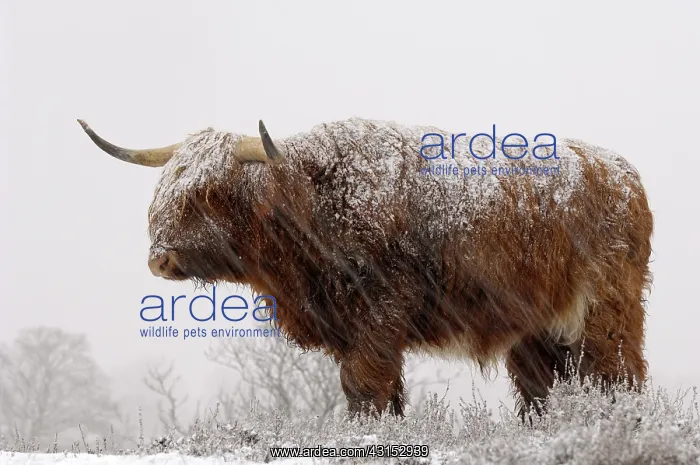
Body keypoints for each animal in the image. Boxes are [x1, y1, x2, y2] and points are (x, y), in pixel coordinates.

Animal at [78, 117, 653, 418]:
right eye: (162, 192)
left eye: (208, 194)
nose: (159, 258)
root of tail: (621, 172)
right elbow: (383, 389)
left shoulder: (379, 316)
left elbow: (364, 386)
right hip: (533, 328)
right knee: (540, 389)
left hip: (605, 314)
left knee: (617, 375)